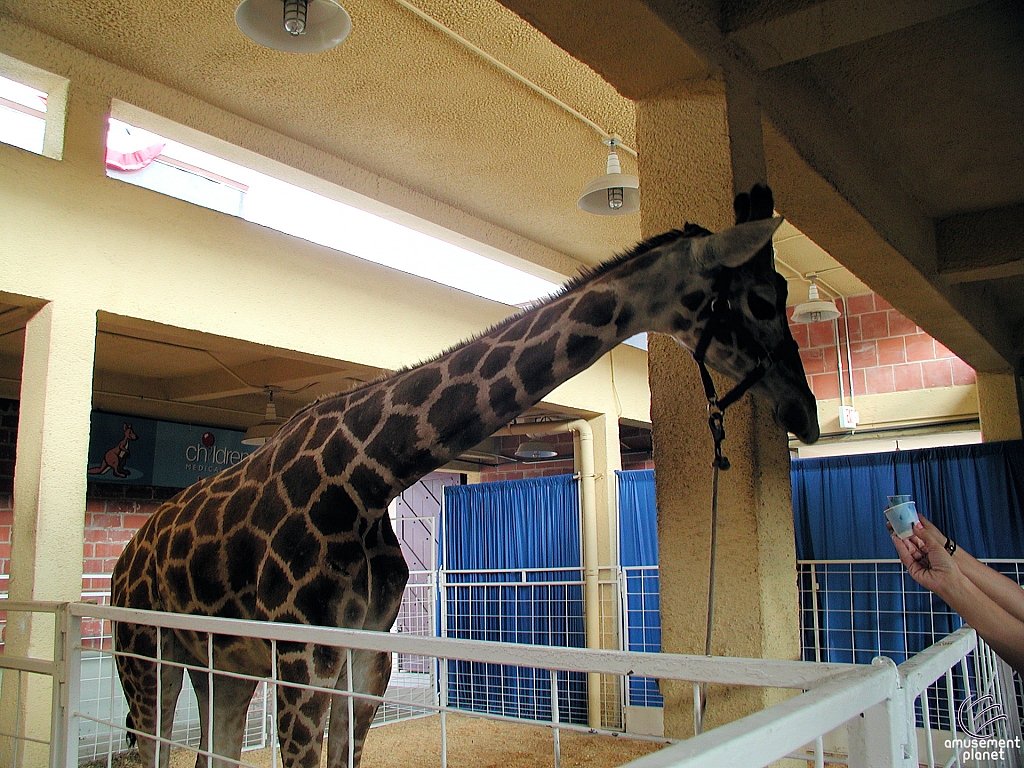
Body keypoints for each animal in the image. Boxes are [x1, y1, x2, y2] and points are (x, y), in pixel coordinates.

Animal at [110, 183, 815, 765]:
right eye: (760, 300)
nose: (804, 412)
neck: (369, 478)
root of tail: (122, 562)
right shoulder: (303, 651)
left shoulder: (368, 653)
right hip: (143, 651)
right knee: (145, 746)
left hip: (221, 665)